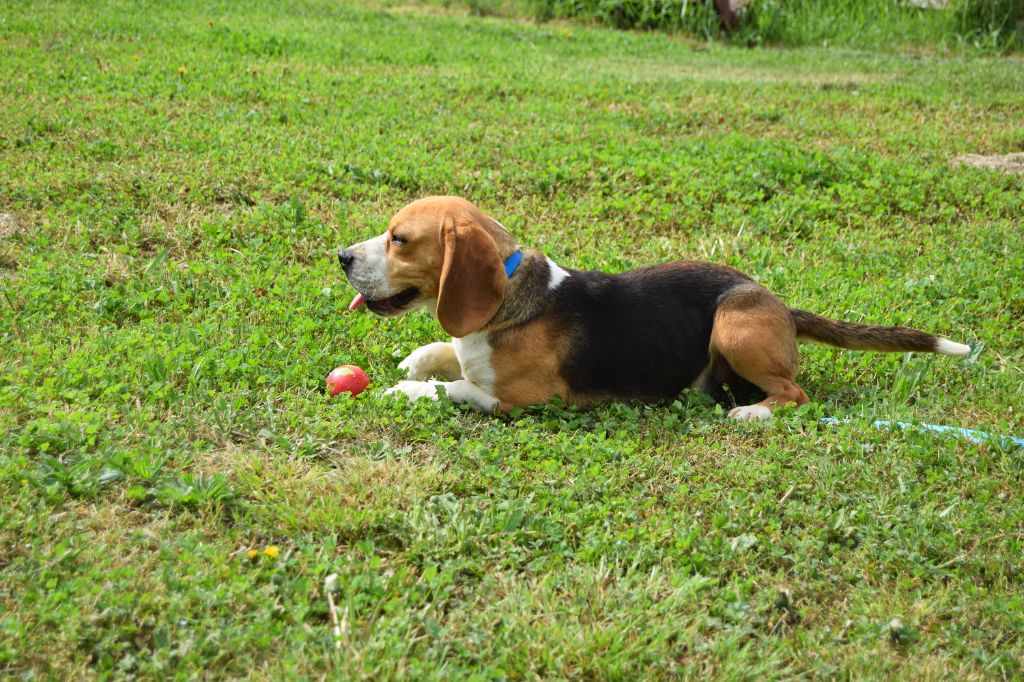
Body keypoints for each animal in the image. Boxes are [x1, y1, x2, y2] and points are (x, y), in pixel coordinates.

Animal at [337, 196, 970, 419]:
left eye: (399, 240)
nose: (342, 256)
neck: (511, 300)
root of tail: (782, 306)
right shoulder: (469, 346)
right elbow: (443, 351)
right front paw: (415, 364)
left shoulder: (527, 399)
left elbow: (457, 388)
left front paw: (407, 390)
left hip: (735, 326)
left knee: (795, 394)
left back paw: (752, 413)